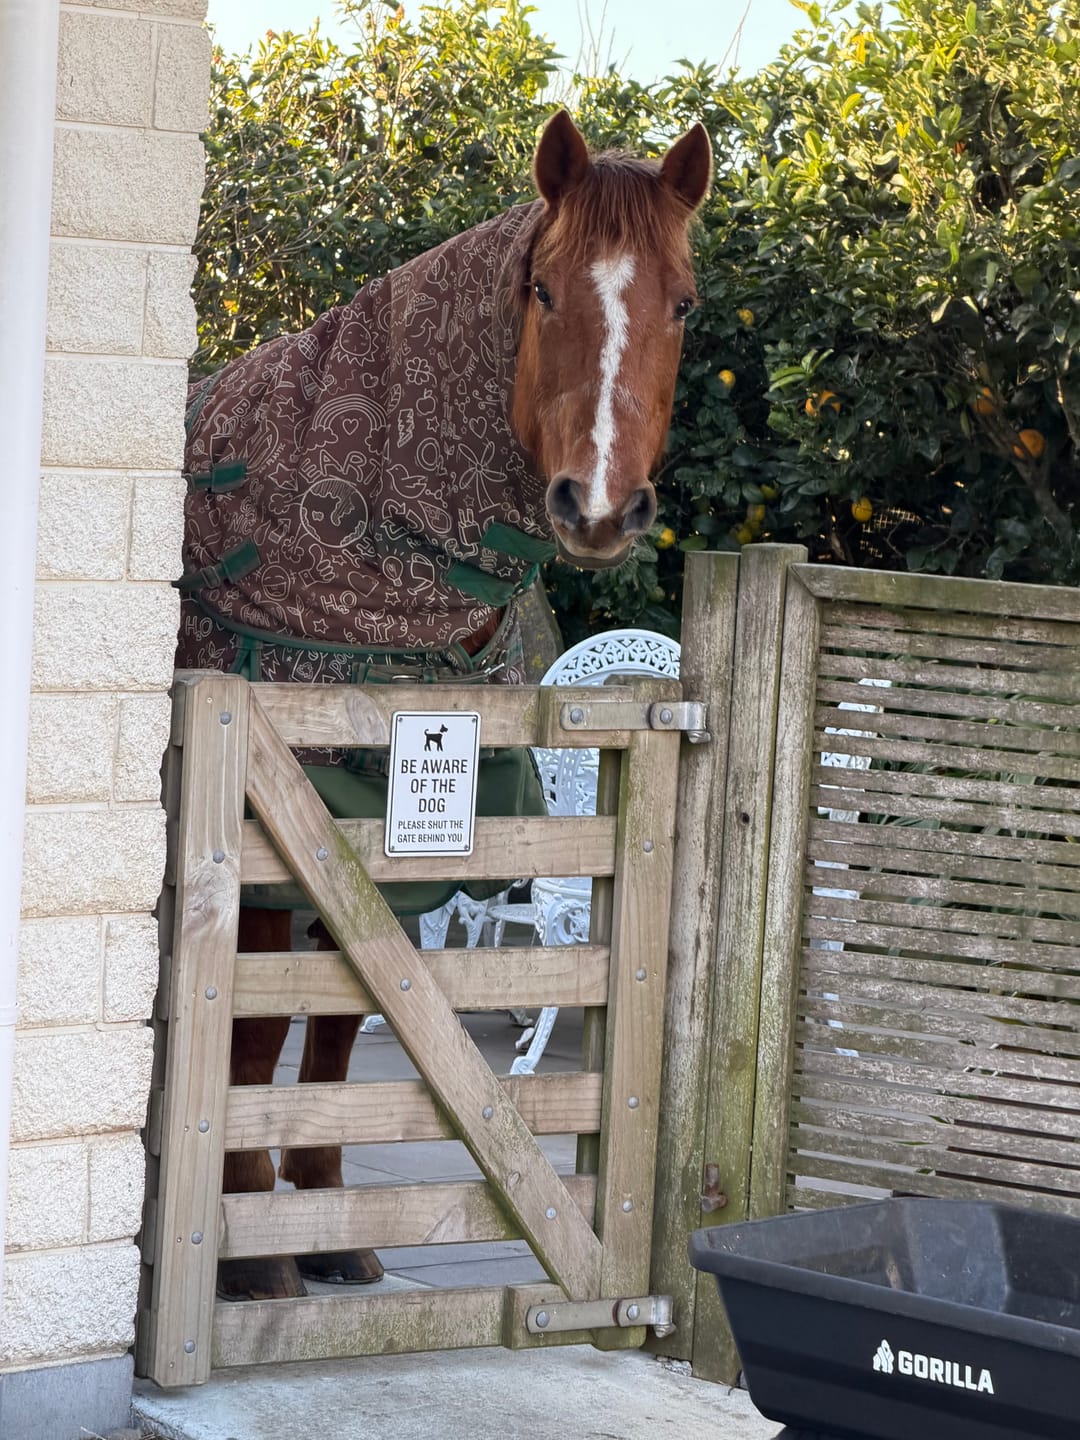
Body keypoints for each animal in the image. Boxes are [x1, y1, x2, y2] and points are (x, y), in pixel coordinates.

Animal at [175, 110, 712, 1300]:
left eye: (686, 300)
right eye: (546, 289)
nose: (597, 505)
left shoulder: (391, 836)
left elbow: (343, 1024)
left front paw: (324, 1217)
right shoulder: (276, 825)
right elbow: (250, 1037)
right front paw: (249, 1248)